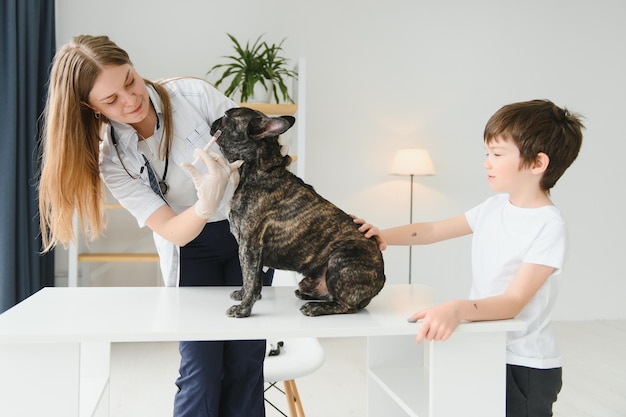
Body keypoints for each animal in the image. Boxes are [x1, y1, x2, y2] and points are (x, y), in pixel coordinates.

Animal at [211, 106, 386, 316]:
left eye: (226, 117)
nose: (214, 120)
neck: (257, 169)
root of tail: (382, 279)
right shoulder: (253, 250)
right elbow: (253, 280)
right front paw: (244, 294)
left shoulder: (249, 245)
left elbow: (250, 277)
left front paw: (243, 309)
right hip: (309, 280)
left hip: (341, 260)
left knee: (347, 306)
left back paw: (315, 307)